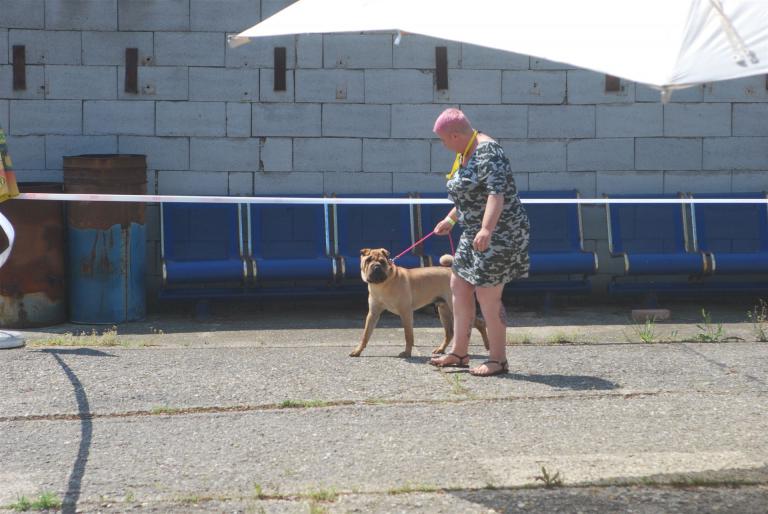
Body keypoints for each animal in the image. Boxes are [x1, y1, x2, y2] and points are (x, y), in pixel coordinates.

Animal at [349, 248, 490, 358]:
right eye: (368, 260)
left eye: (383, 262)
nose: (376, 266)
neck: (382, 284)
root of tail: (451, 271)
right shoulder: (373, 314)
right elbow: (365, 334)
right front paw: (358, 351)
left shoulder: (405, 313)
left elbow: (408, 335)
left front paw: (407, 353)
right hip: (443, 310)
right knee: (450, 332)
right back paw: (441, 349)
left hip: (456, 308)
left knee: (480, 323)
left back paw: (488, 346)